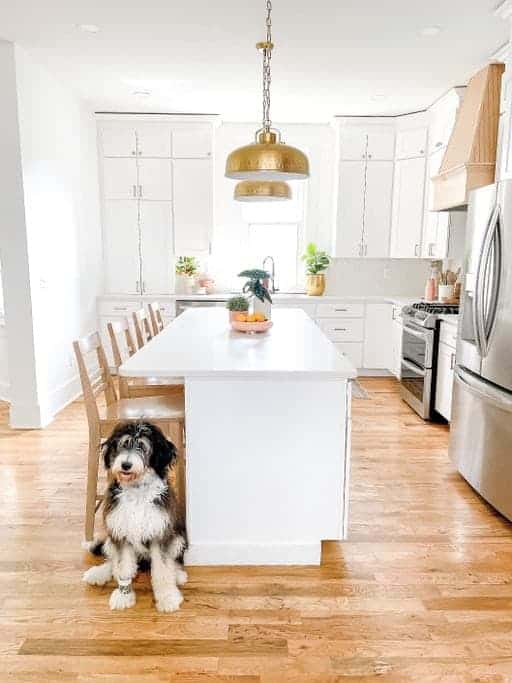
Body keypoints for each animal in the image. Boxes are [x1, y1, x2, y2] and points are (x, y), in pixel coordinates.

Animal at [83, 422, 187, 616]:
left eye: (143, 446)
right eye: (123, 445)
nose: (125, 465)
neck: (137, 490)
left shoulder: (160, 533)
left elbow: (163, 569)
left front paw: (167, 597)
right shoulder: (120, 533)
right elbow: (123, 567)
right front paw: (123, 595)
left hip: (178, 538)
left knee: (172, 561)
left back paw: (178, 575)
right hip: (110, 539)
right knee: (112, 561)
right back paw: (98, 573)